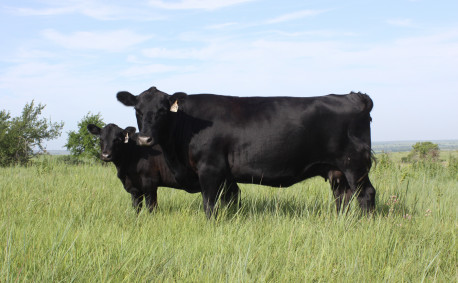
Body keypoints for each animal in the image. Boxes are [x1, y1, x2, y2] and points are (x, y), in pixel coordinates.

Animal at [117, 87, 376, 219]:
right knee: (343, 196)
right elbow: (230, 201)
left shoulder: (209, 168)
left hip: (355, 166)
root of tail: (355, 96)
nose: (144, 139)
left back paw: (366, 223)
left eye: (163, 110)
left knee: (366, 194)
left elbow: (209, 204)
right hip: (336, 170)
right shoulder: (227, 176)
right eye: (138, 110)